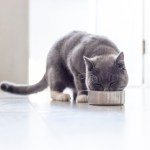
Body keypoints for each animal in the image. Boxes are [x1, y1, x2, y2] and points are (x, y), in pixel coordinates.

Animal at [0, 31, 128, 102]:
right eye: (98, 84)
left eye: (113, 82)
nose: (106, 91)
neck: (103, 50)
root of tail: (46, 68)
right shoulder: (74, 64)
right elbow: (80, 82)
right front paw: (83, 96)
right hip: (56, 71)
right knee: (54, 88)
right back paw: (62, 96)